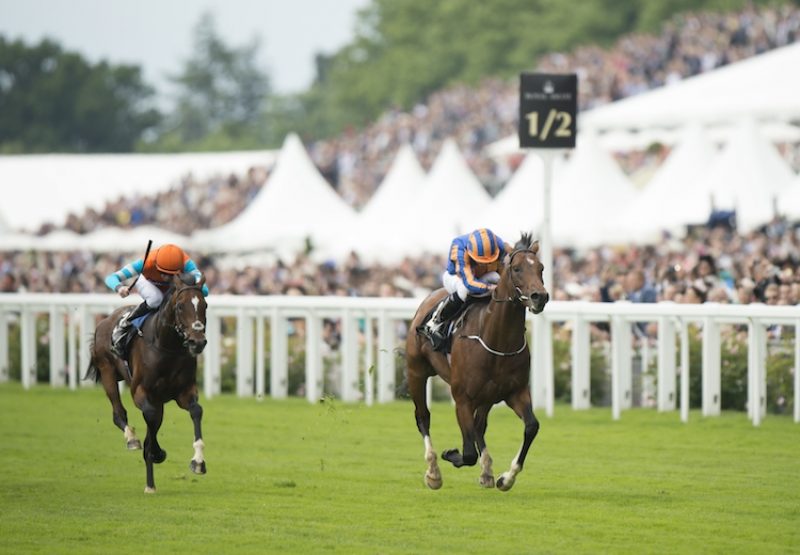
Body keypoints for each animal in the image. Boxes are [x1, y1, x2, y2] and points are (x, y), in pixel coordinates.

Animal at [85, 272, 208, 494]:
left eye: (205, 305)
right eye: (180, 306)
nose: (198, 341)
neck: (168, 347)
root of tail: (104, 320)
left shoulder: (184, 392)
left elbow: (196, 411)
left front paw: (198, 462)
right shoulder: (141, 392)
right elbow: (149, 420)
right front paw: (153, 464)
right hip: (107, 372)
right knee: (119, 413)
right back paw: (133, 442)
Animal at [406, 233, 552, 490]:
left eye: (541, 268)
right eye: (516, 269)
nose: (540, 297)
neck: (497, 341)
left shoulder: (515, 392)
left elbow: (531, 426)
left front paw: (506, 477)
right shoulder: (462, 398)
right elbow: (468, 453)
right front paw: (449, 454)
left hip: (488, 396)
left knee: (479, 425)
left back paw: (486, 471)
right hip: (417, 372)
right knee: (423, 417)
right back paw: (433, 471)